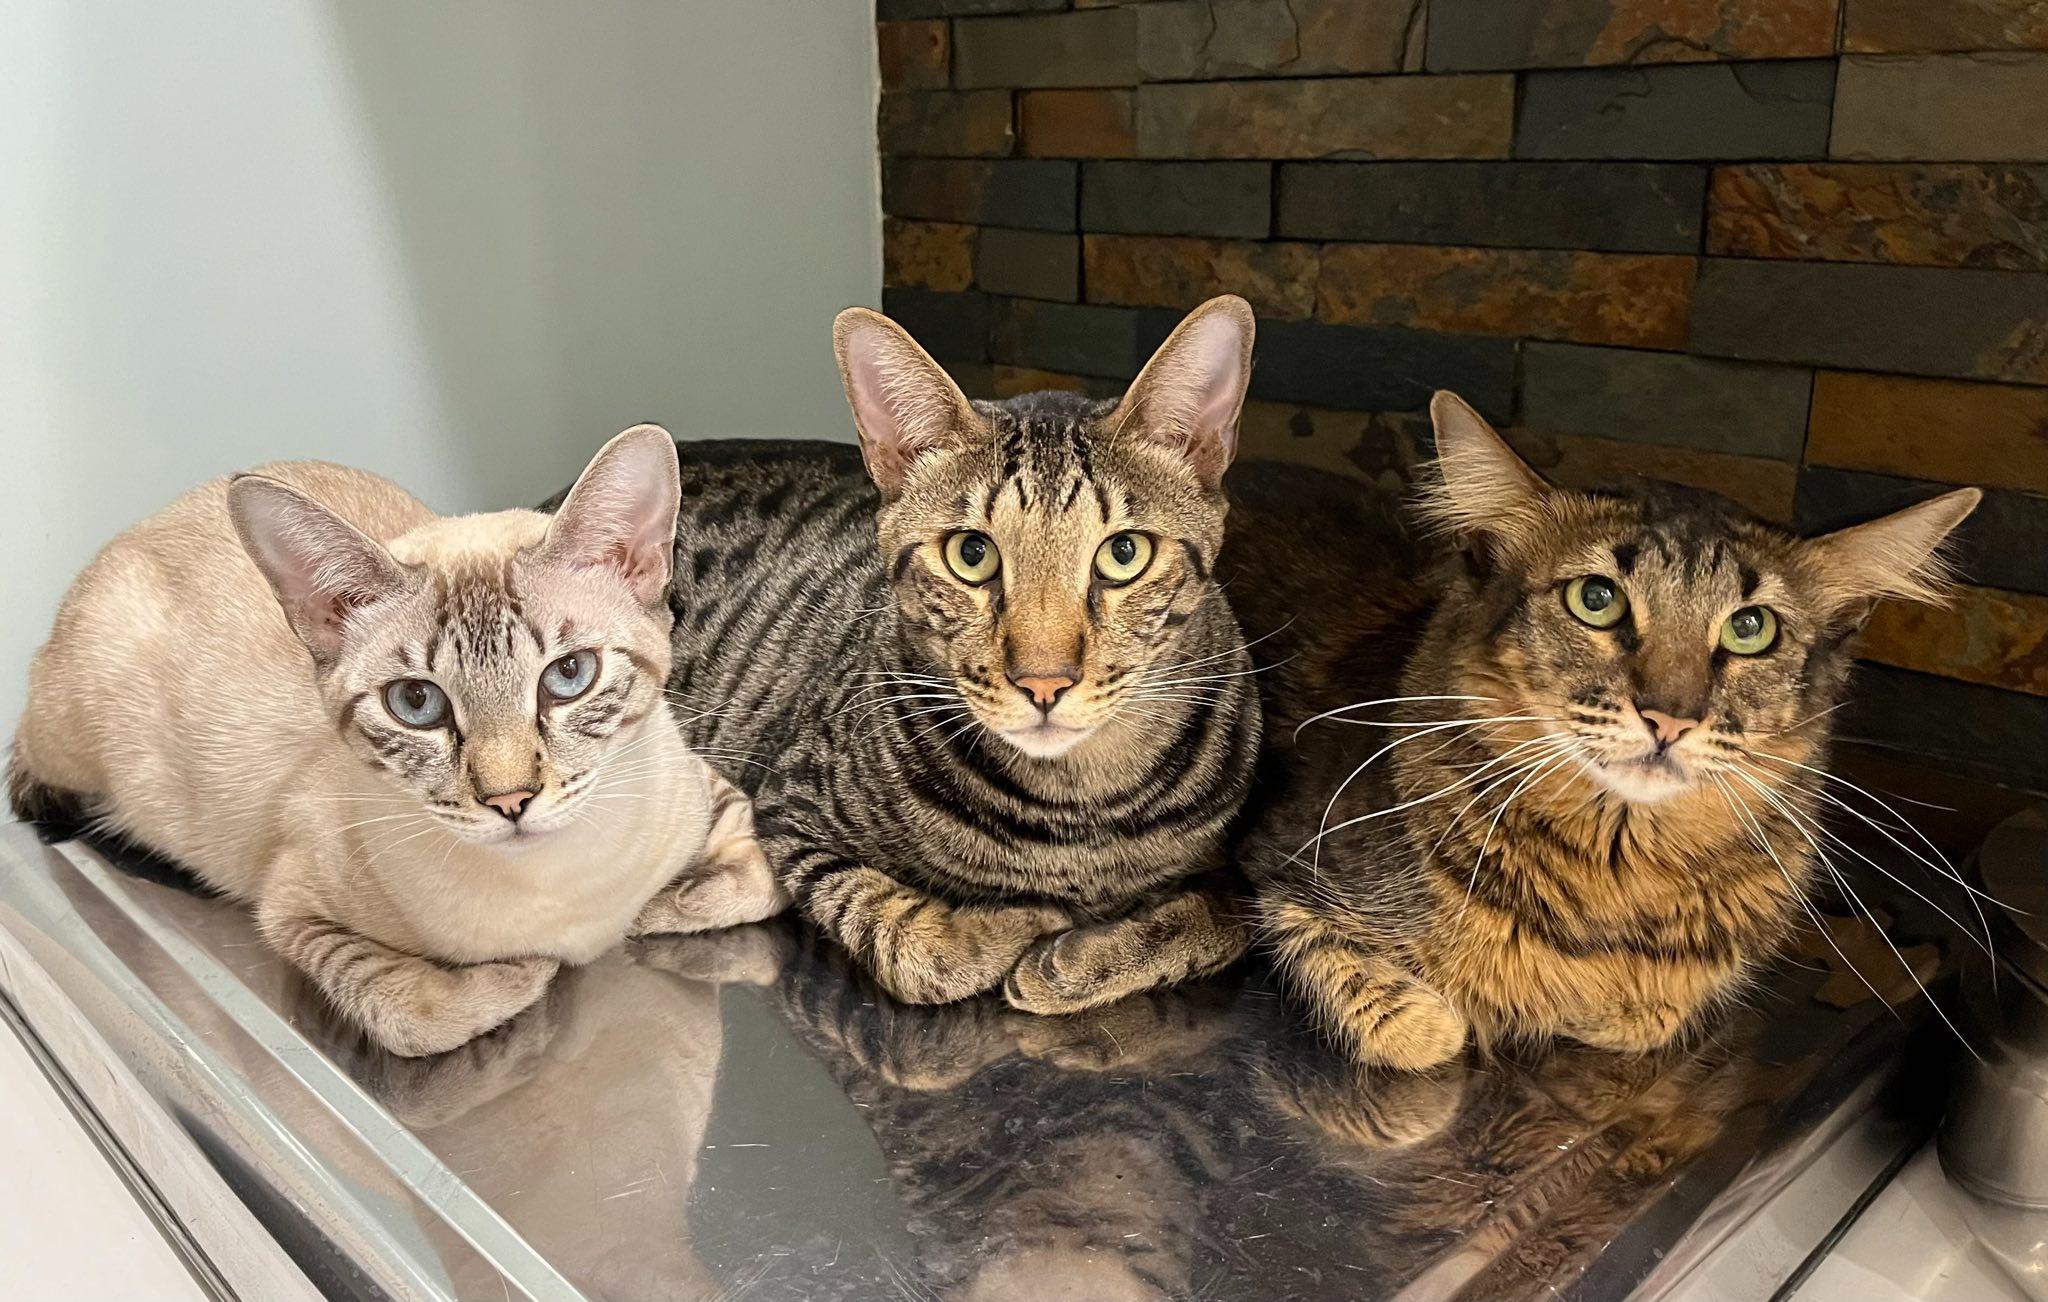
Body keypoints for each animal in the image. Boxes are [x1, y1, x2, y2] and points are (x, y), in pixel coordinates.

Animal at [10, 427, 784, 1056]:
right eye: (416, 703)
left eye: (569, 676)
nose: (511, 800)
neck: (559, 886)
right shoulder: (290, 906)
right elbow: (412, 1012)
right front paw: (524, 972)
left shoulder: (707, 787)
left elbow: (757, 877)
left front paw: (665, 906)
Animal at [591, 296, 1266, 1013]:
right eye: (972, 554)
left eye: (1124, 553)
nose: (1044, 682)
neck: (1075, 811)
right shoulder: (793, 810)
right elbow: (908, 941)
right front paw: (1022, 925)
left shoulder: (1229, 867)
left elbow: (1218, 922)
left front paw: (1083, 960)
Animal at [1225, 391, 1979, 1070]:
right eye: (1596, 599)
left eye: (1750, 628)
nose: (1670, 717)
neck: (1613, 875)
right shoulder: (1280, 869)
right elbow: (1405, 1022)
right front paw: (1442, 1021)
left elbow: (1645, 1016)